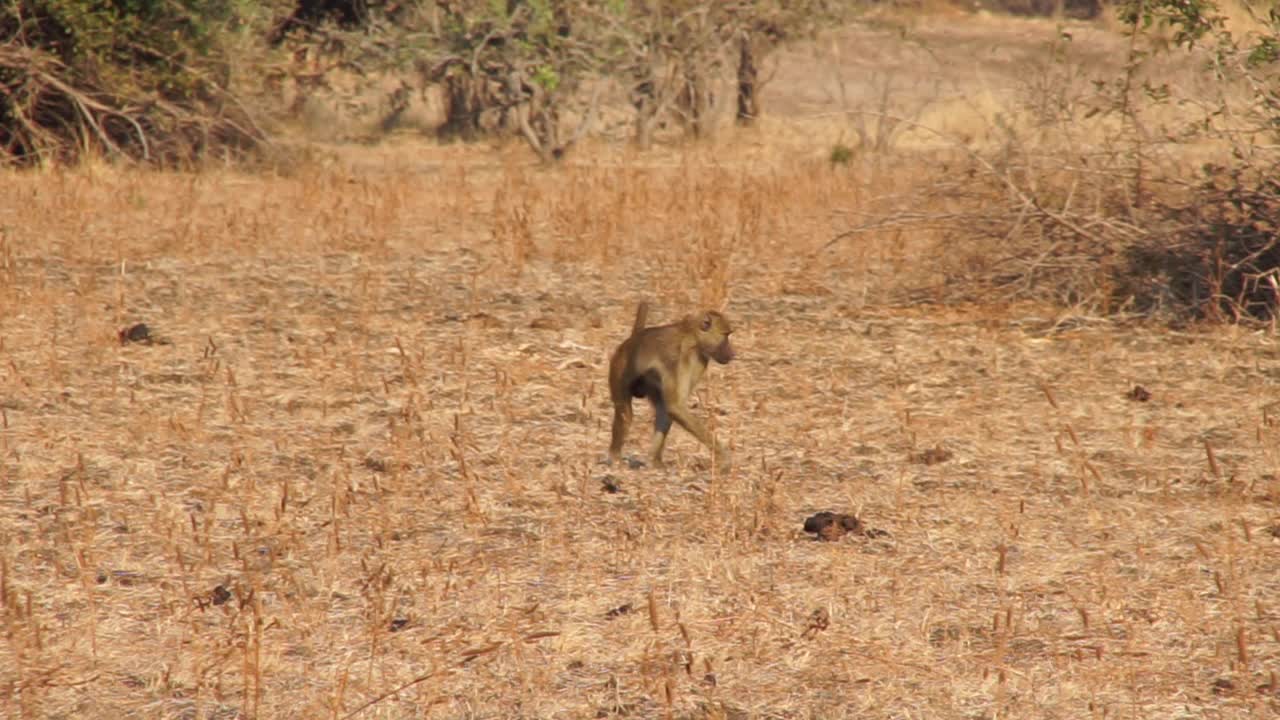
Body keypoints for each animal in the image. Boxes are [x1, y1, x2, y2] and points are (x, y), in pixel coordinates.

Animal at [611, 299, 742, 468]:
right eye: (725, 335)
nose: (732, 354)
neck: (692, 340)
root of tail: (630, 341)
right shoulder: (674, 356)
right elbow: (675, 406)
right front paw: (722, 458)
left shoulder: (700, 360)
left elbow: (673, 407)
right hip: (619, 365)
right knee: (625, 412)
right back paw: (614, 457)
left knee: (662, 410)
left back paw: (655, 461)